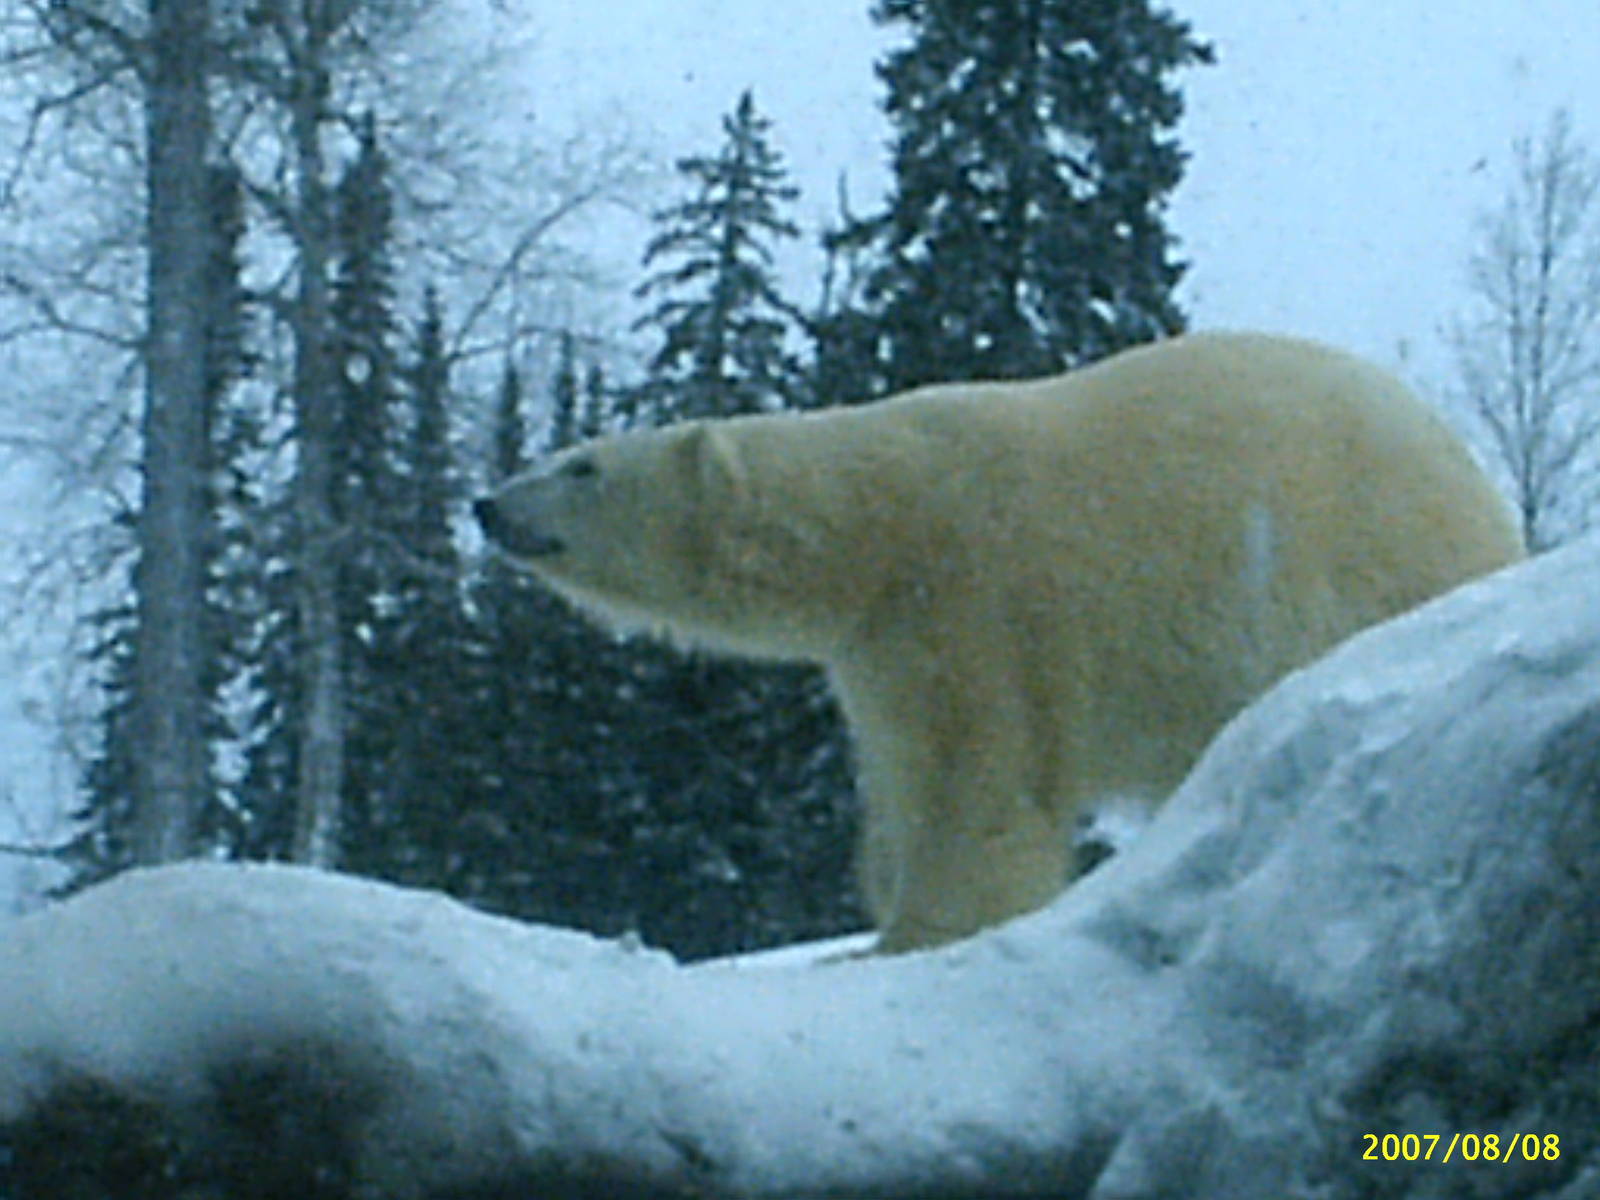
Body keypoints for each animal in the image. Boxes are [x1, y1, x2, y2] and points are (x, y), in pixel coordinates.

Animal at [475, 332, 1524, 954]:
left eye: (583, 465)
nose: (489, 505)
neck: (881, 516)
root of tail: (1490, 506)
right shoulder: (880, 646)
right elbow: (904, 782)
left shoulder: (977, 598)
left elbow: (979, 792)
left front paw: (912, 938)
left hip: (1360, 575)